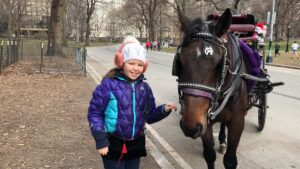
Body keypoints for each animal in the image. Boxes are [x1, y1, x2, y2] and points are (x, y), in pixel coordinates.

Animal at [173, 8, 248, 169]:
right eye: (180, 61)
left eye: (220, 64)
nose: (190, 127)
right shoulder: (204, 120)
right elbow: (209, 155)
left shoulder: (238, 121)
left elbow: (230, 160)